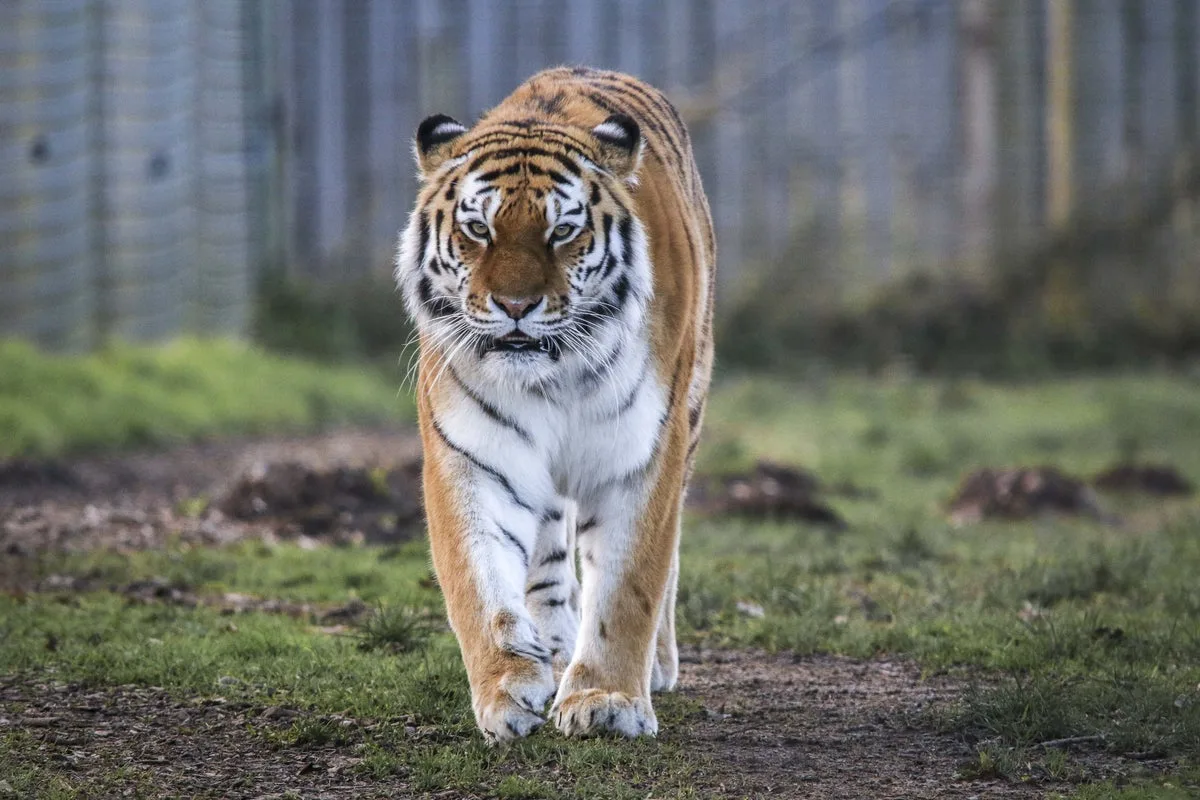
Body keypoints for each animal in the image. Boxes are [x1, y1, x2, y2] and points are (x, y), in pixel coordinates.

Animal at [395, 66, 714, 742]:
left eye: (562, 231)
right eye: (479, 229)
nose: (516, 306)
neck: (554, 376)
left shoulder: (642, 454)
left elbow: (629, 586)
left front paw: (607, 700)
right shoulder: (473, 456)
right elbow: (479, 584)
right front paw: (506, 690)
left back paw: (655, 666)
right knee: (545, 559)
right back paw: (554, 649)